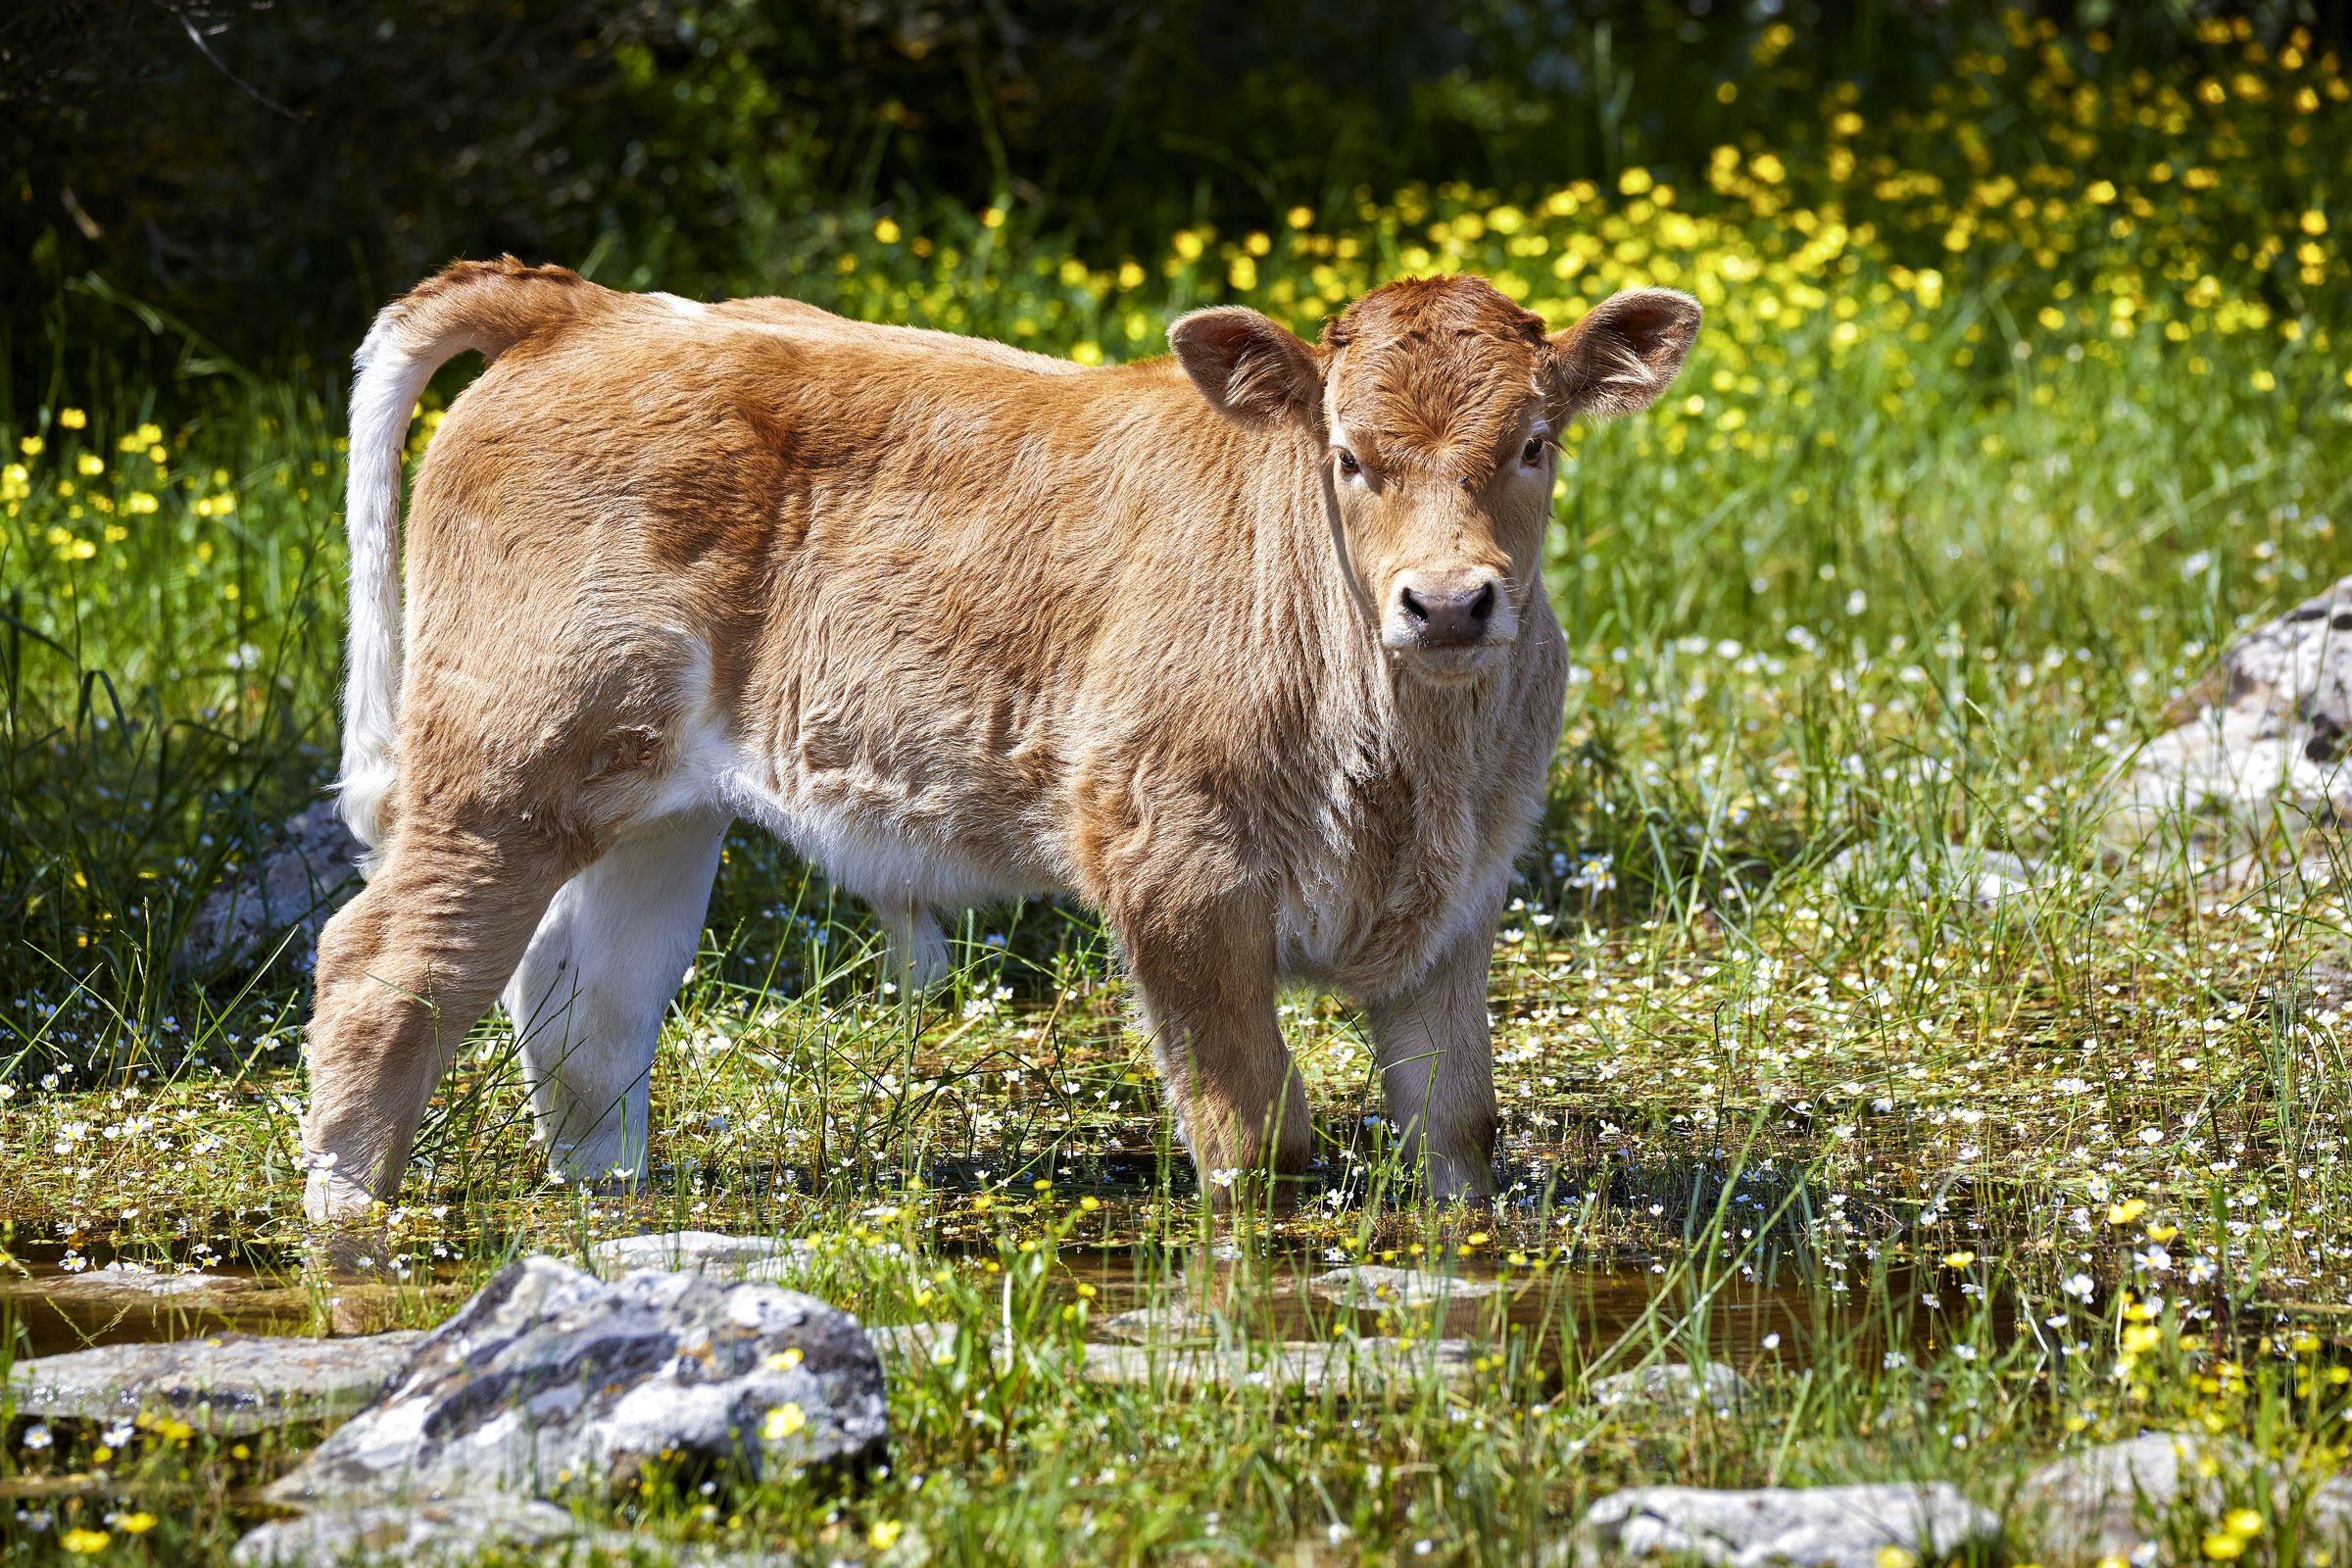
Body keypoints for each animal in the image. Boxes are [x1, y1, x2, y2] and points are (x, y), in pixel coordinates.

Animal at [299, 255, 1698, 1222]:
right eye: (1349, 457)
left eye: (1534, 441)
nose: (1450, 603)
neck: (1405, 767)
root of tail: (590, 308)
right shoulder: (1176, 870)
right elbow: (1258, 1139)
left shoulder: (1459, 898)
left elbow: (1459, 1132)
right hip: (504, 761)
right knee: (382, 969)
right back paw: (349, 1228)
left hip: (652, 806)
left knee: (586, 1012)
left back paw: (611, 1216)